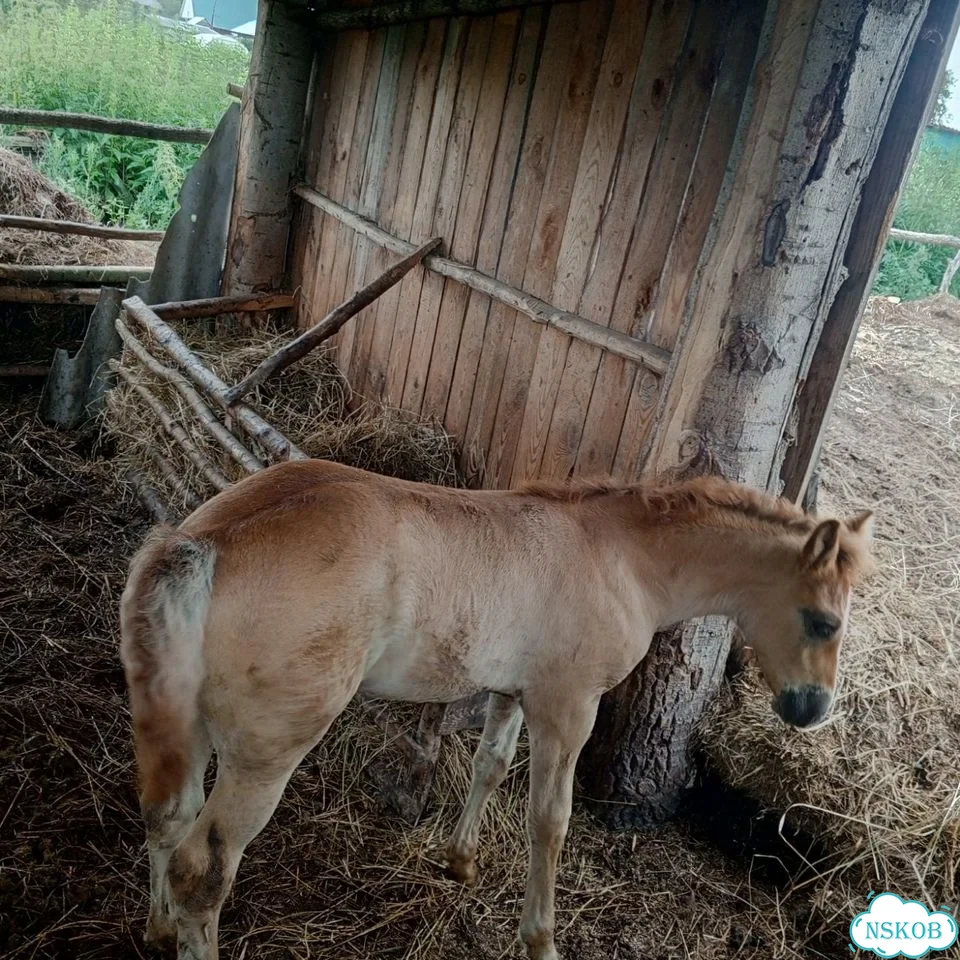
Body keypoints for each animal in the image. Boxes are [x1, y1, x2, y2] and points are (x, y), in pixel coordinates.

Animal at [119, 458, 874, 960]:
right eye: (824, 622)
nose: (810, 709)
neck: (622, 558)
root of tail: (204, 542)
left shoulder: (515, 693)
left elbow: (489, 763)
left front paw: (461, 862)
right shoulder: (569, 706)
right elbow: (550, 820)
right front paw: (540, 939)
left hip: (181, 720)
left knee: (166, 817)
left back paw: (157, 927)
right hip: (268, 750)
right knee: (201, 867)